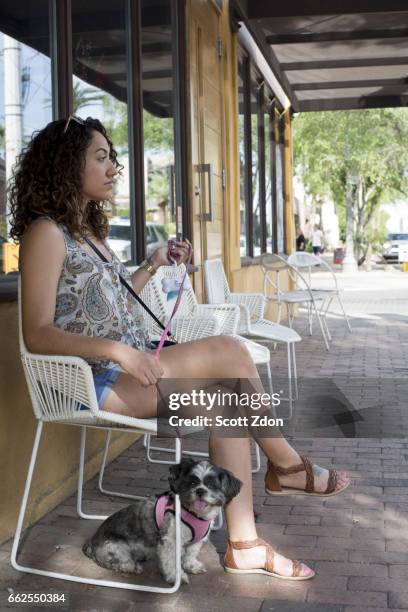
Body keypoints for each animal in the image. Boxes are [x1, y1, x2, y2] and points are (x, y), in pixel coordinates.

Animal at [83, 460, 242, 584]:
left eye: (212, 485)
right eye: (192, 483)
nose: (200, 491)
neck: (192, 512)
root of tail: (91, 543)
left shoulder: (196, 541)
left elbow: (191, 554)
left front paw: (192, 566)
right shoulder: (170, 541)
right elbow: (171, 561)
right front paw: (175, 577)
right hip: (116, 548)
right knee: (120, 563)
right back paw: (133, 566)